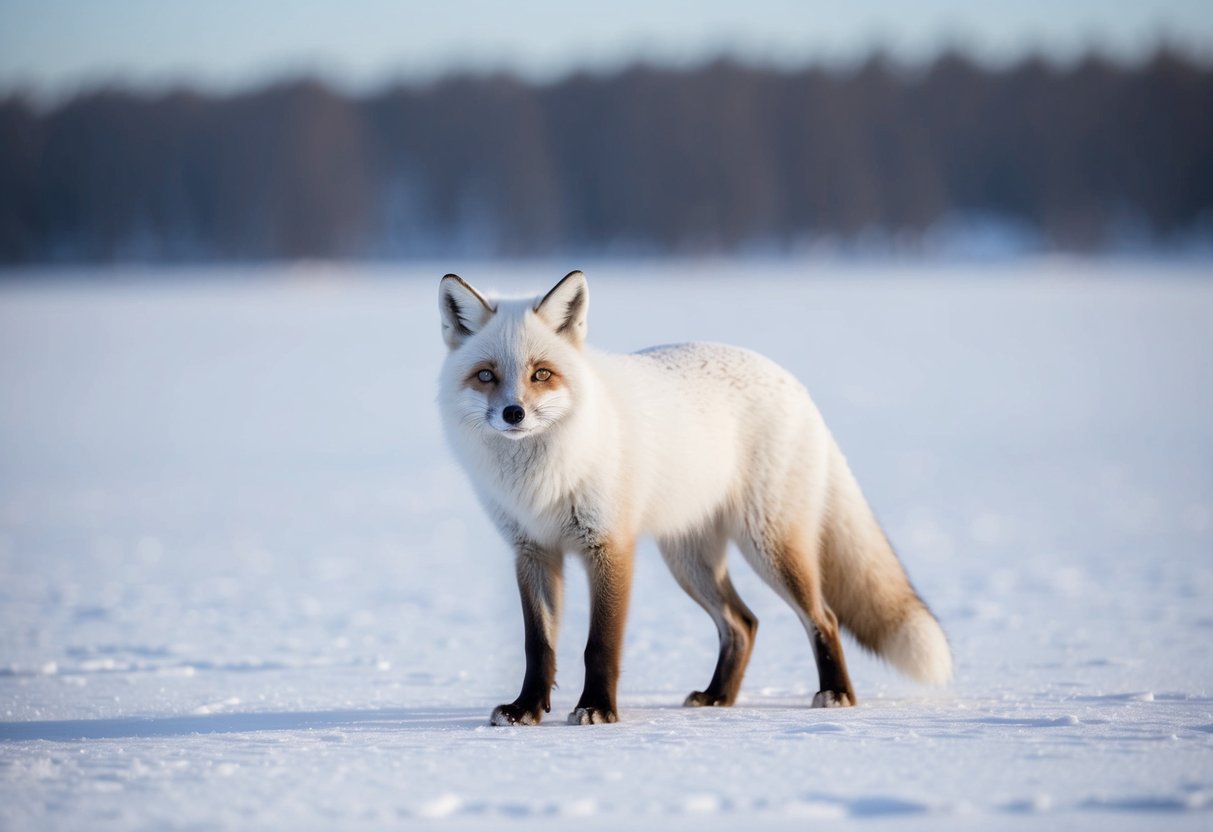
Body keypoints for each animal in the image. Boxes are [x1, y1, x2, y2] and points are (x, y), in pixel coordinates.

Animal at [438, 270, 952, 726]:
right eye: (487, 375)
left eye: (541, 373)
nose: (514, 413)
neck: (541, 476)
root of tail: (794, 384)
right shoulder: (533, 550)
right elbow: (538, 645)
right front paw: (526, 709)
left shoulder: (609, 545)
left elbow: (599, 644)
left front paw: (598, 709)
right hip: (690, 561)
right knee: (743, 623)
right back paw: (719, 696)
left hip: (770, 548)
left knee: (822, 617)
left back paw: (837, 694)